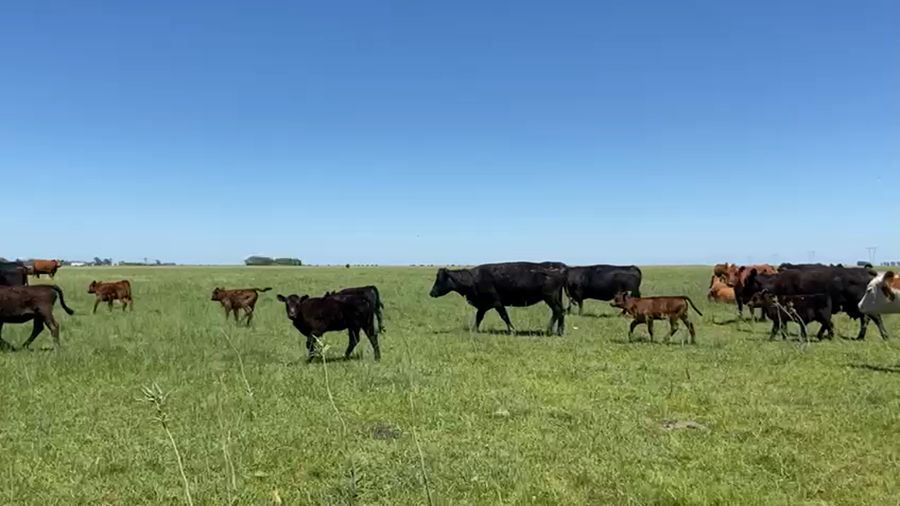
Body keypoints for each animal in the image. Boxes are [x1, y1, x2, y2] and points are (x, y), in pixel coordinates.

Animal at [428, 262, 567, 335]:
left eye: (440, 279)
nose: (431, 292)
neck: (472, 279)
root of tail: (558, 265)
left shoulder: (496, 302)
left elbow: (504, 316)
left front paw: (512, 330)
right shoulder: (483, 305)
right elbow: (478, 317)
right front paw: (474, 330)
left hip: (550, 298)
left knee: (558, 311)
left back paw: (549, 330)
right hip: (554, 298)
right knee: (561, 312)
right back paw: (559, 331)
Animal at [741, 266, 888, 340]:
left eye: (748, 282)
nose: (743, 298)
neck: (777, 282)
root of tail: (866, 271)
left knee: (875, 318)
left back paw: (884, 336)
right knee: (866, 320)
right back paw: (859, 337)